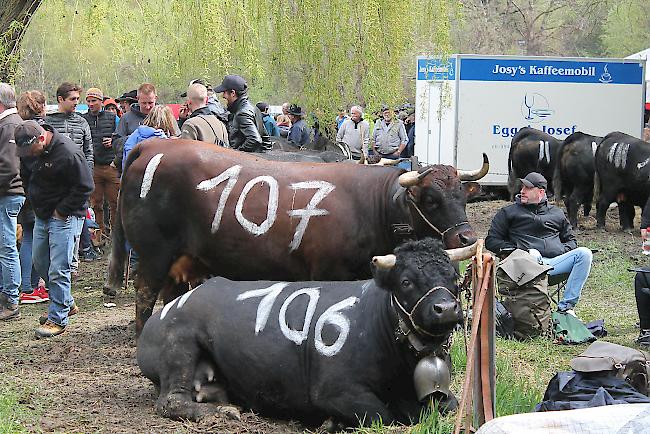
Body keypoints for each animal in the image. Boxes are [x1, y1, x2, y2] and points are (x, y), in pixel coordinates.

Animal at [137, 239, 470, 428]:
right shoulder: (335, 390)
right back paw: (224, 413)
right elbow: (382, 416)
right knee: (171, 401)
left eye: (453, 278)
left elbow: (450, 405)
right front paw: (332, 423)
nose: (446, 309)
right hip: (179, 345)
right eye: (406, 281)